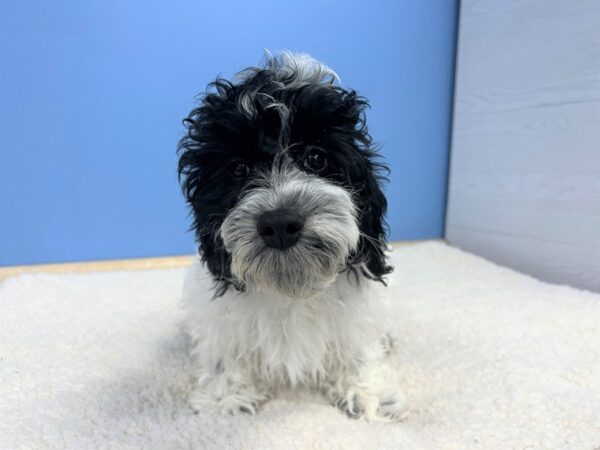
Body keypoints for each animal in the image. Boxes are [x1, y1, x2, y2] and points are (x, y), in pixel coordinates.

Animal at [176, 52, 406, 422]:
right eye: (238, 169)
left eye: (316, 157)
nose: (280, 222)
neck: (291, 285)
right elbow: (224, 352)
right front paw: (225, 397)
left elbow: (356, 348)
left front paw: (366, 391)